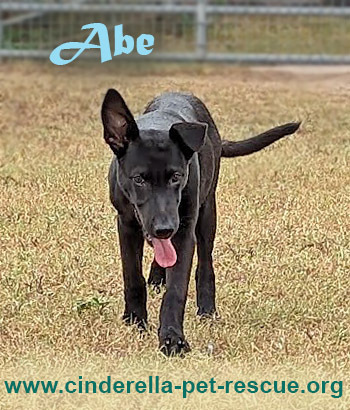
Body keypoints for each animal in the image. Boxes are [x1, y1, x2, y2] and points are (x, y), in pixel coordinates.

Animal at [101, 89, 300, 356]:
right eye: (139, 179)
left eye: (176, 176)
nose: (164, 228)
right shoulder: (126, 224)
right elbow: (132, 276)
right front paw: (135, 322)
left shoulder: (185, 229)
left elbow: (176, 289)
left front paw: (172, 338)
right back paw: (156, 278)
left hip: (207, 213)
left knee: (205, 264)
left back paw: (207, 309)